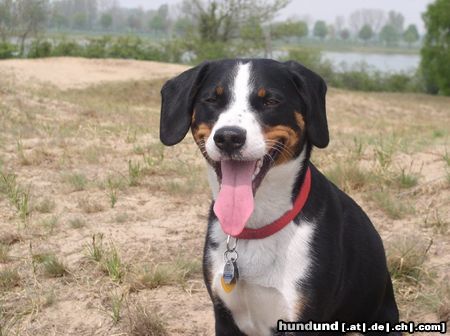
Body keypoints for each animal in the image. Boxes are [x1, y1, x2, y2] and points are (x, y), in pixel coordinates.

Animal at [160, 59, 400, 334]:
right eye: (212, 99)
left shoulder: (304, 316)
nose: (229, 137)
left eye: (271, 101)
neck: (258, 226)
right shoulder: (224, 316)